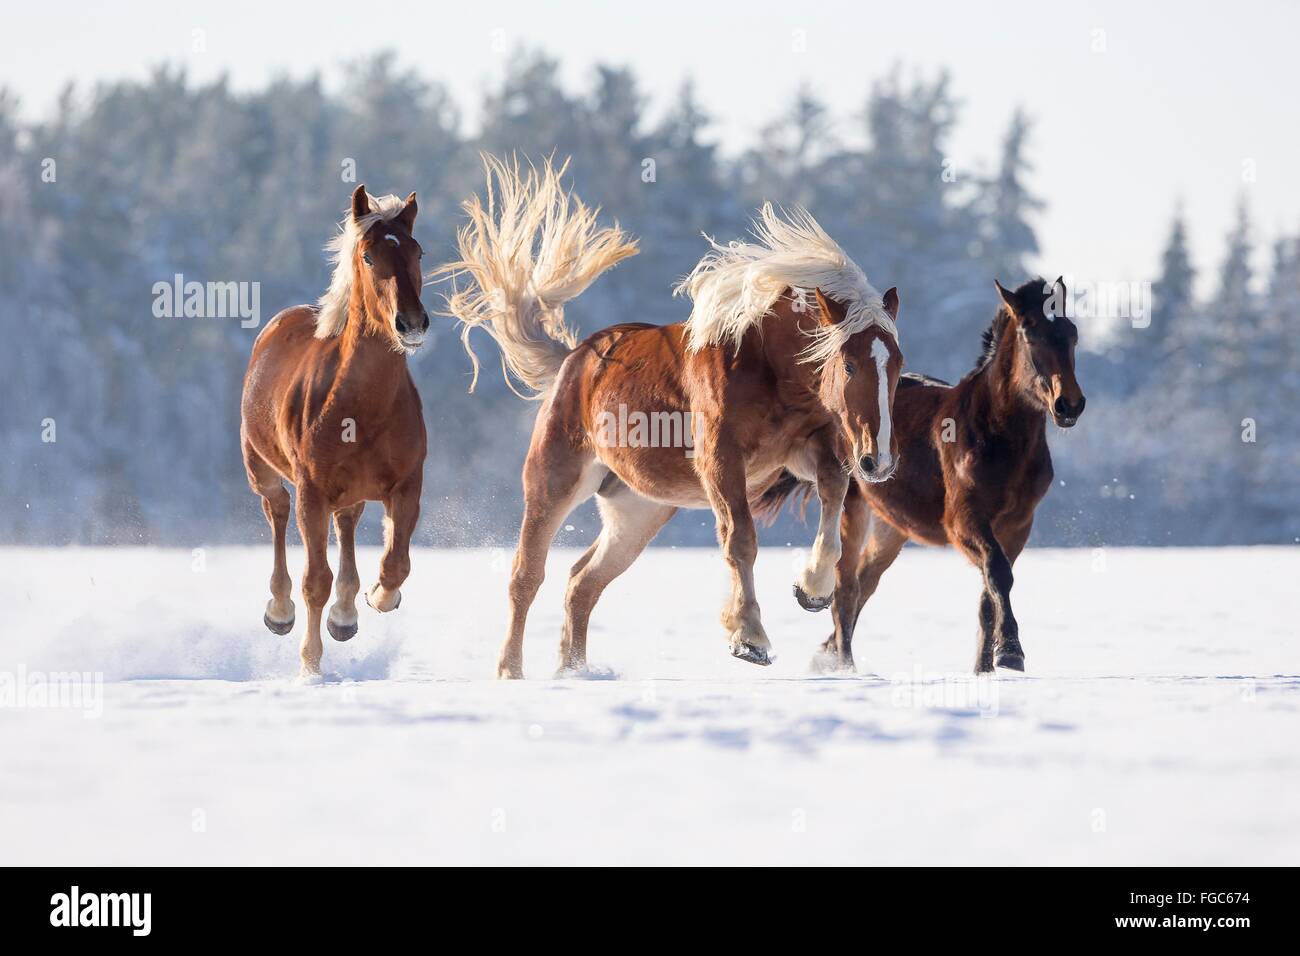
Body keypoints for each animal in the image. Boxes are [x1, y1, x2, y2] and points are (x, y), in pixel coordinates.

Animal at [241, 184, 428, 681]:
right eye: (367, 256)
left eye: (418, 252)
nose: (412, 323)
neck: (361, 408)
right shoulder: (312, 491)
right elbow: (314, 581)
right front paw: (310, 663)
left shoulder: (408, 485)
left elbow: (397, 561)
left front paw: (379, 596)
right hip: (262, 471)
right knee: (277, 511)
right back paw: (280, 611)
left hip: (350, 493)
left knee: (346, 525)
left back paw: (345, 615)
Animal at [436, 158, 904, 681]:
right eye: (849, 365)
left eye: (898, 363)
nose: (880, 461)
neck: (765, 362)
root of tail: (572, 360)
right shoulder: (721, 460)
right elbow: (740, 540)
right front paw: (749, 638)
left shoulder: (806, 450)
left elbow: (833, 497)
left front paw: (811, 589)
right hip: (554, 483)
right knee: (526, 576)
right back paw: (512, 673)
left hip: (636, 512)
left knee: (582, 582)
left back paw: (573, 671)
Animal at [759, 280, 1086, 676]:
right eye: (1031, 333)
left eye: (1072, 335)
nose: (1069, 405)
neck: (999, 437)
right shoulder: (963, 521)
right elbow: (998, 573)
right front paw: (1010, 652)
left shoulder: (1018, 524)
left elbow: (989, 594)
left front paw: (985, 668)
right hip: (853, 509)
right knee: (846, 590)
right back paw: (844, 666)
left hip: (892, 528)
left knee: (865, 583)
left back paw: (827, 655)